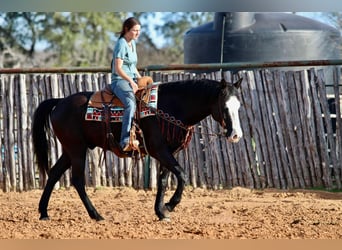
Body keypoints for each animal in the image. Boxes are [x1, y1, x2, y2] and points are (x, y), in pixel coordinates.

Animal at [32, 77, 243, 221]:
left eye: (238, 106)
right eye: (225, 107)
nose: (236, 135)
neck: (169, 107)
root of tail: (59, 102)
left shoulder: (169, 151)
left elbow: (163, 180)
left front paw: (160, 211)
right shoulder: (159, 150)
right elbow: (182, 175)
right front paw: (169, 205)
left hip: (70, 149)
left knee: (54, 173)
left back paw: (44, 212)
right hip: (77, 149)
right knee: (77, 180)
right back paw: (96, 215)